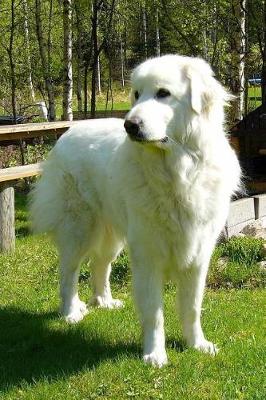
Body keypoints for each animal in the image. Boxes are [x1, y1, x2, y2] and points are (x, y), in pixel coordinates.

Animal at [30, 54, 241, 368]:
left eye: (163, 93)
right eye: (137, 94)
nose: (130, 125)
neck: (179, 172)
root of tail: (69, 131)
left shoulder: (198, 254)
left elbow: (192, 307)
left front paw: (197, 345)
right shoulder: (148, 254)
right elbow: (154, 312)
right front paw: (155, 354)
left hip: (113, 235)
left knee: (100, 265)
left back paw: (104, 302)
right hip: (79, 229)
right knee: (69, 271)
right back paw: (70, 312)